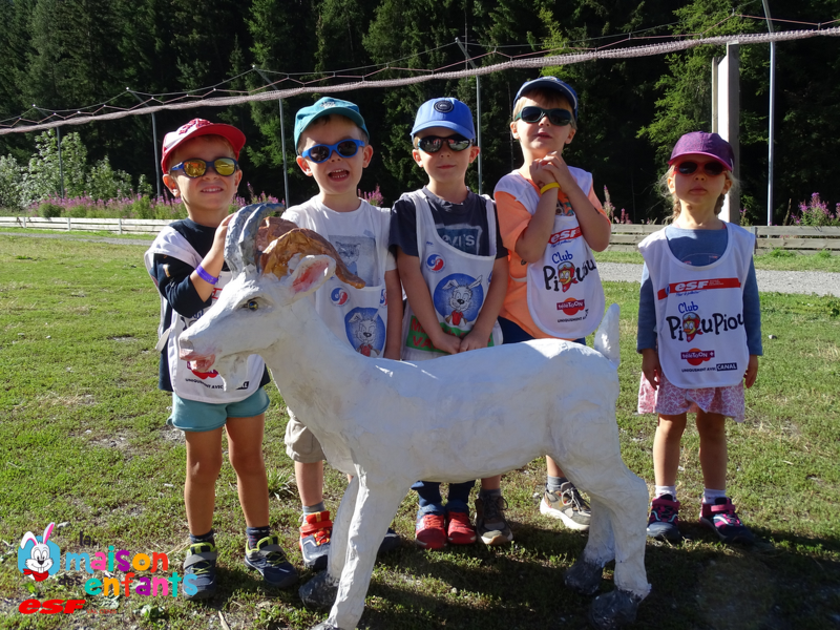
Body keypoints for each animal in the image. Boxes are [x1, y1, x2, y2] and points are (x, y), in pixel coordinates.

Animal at [177, 205, 648, 628]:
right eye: (223, 293)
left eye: (254, 303)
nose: (187, 342)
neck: (354, 385)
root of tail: (606, 362)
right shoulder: (360, 474)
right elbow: (343, 525)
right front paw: (323, 588)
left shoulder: (386, 476)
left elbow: (360, 538)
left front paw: (338, 618)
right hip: (583, 450)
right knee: (606, 500)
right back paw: (585, 573)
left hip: (586, 444)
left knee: (632, 494)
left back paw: (622, 599)